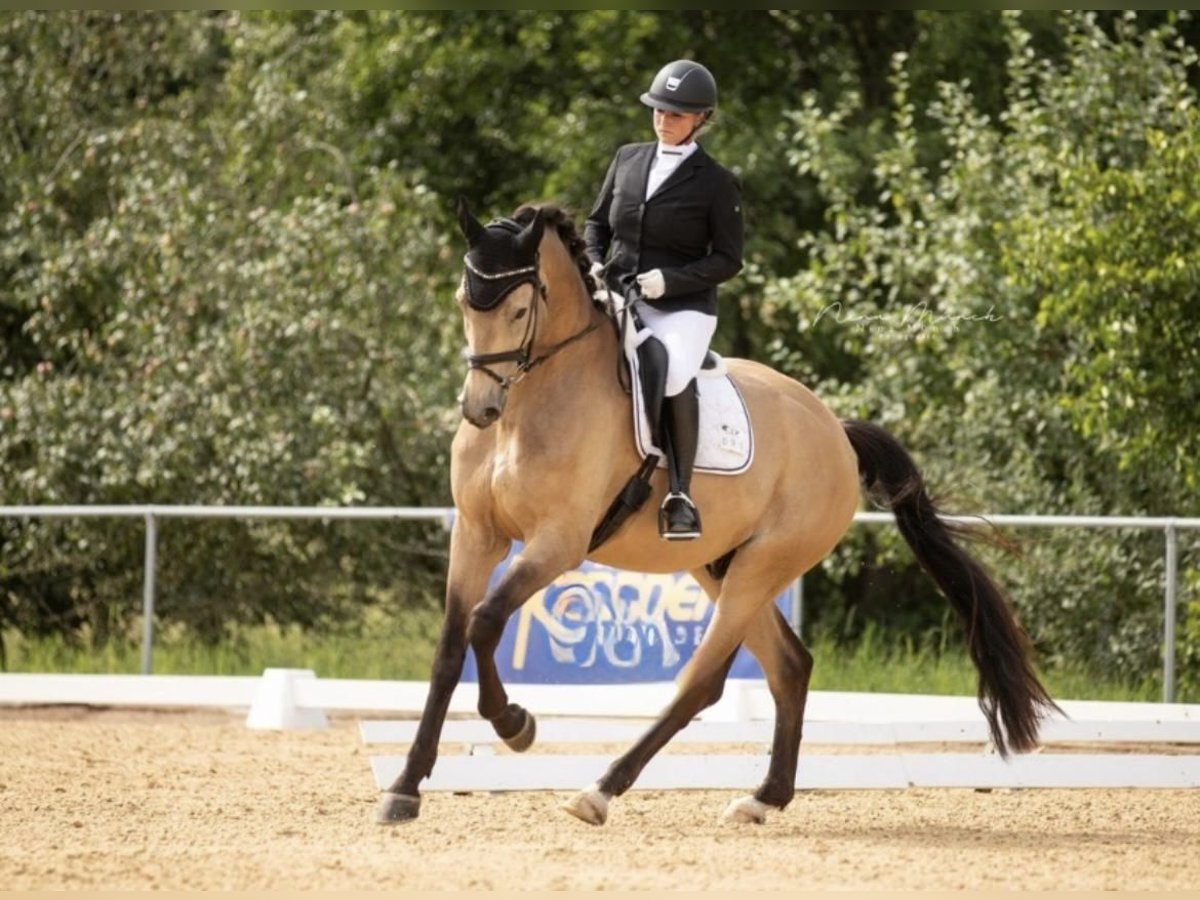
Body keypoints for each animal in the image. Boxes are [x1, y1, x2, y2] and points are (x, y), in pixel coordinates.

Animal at [376, 199, 1058, 827]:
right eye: (465, 303)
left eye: (519, 311)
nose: (480, 410)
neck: (529, 408)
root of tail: (835, 432)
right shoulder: (477, 534)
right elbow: (449, 650)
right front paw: (405, 787)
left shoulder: (557, 543)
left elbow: (487, 621)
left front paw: (515, 723)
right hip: (721, 565)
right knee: (789, 666)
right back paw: (763, 798)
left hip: (762, 566)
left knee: (702, 682)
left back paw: (600, 791)